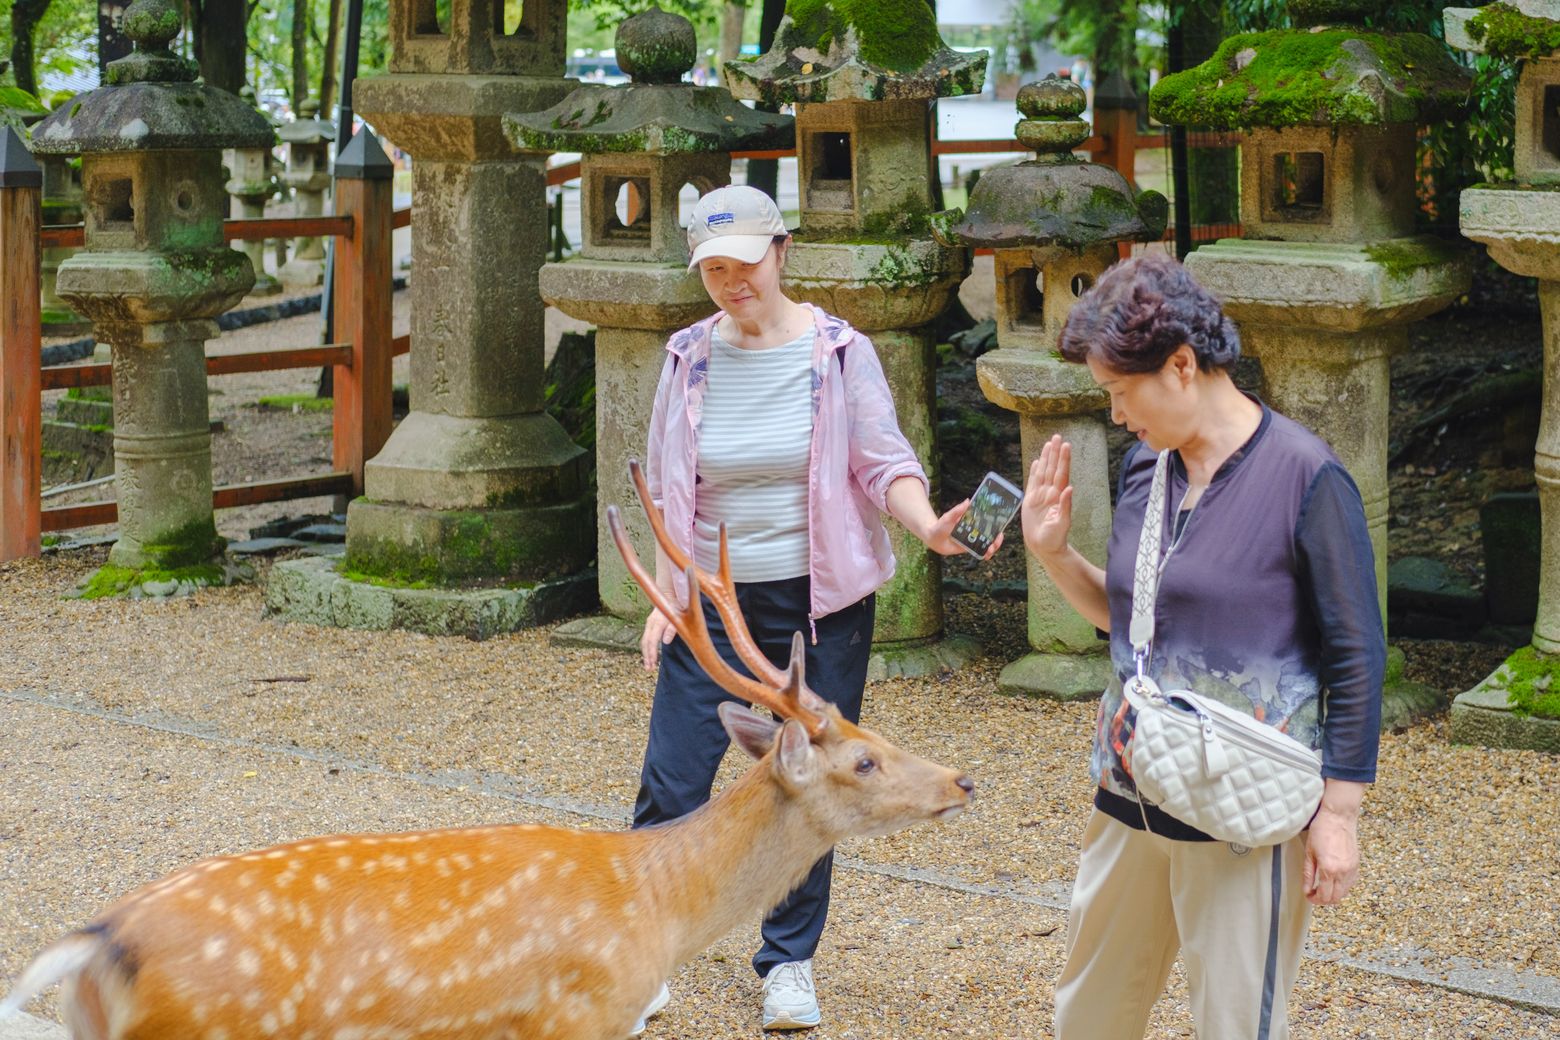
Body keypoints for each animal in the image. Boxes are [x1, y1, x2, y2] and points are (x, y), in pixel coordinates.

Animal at [0, 461, 975, 1040]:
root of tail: (96, 943)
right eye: (862, 761)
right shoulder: (570, 1021)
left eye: (876, 732)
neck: (657, 906)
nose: (963, 780)